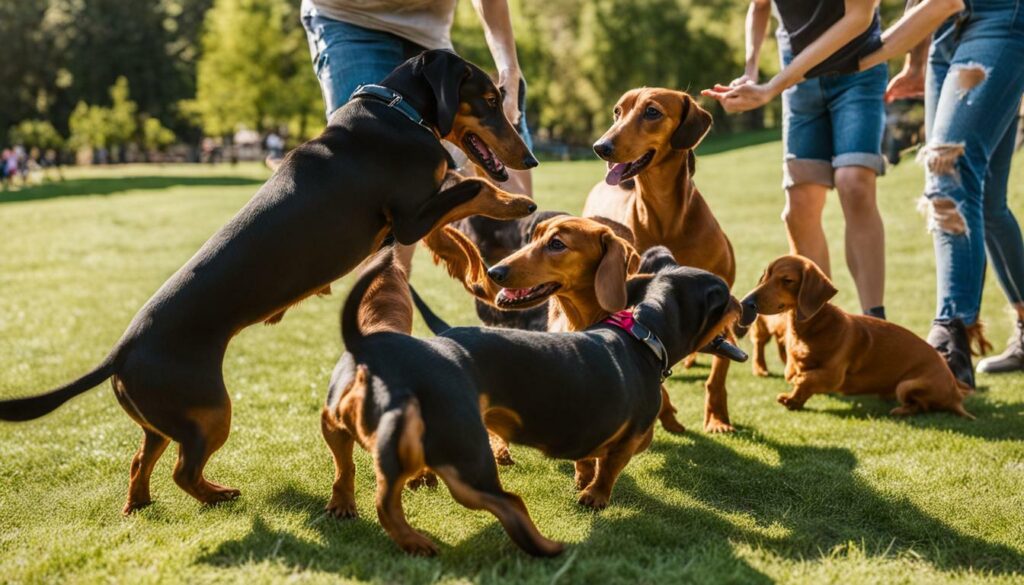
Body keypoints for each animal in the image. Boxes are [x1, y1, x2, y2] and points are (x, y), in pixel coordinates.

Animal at [585, 88, 737, 434]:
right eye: (617, 111)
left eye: (652, 112)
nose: (601, 147)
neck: (667, 216)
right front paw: (668, 415)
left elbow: (718, 371)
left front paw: (717, 417)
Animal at [741, 255, 970, 415]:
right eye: (765, 275)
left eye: (787, 280)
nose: (746, 302)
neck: (814, 328)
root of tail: (955, 390)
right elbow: (799, 378)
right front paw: (793, 400)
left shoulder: (834, 376)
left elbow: (805, 379)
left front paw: (793, 395)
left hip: (906, 385)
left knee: (923, 405)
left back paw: (901, 410)